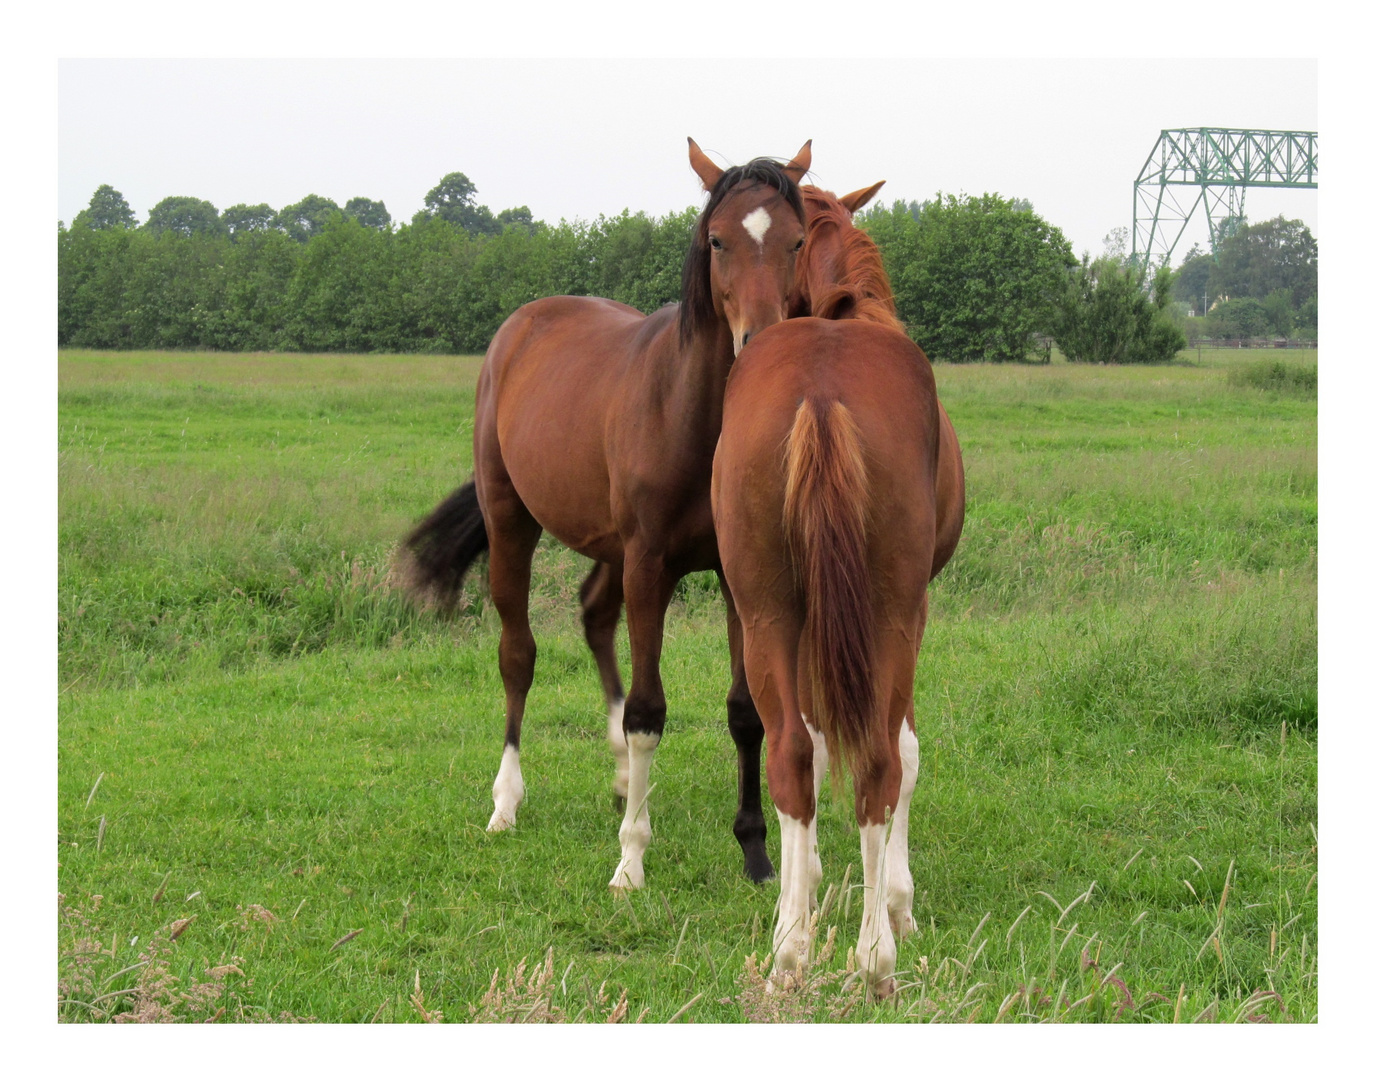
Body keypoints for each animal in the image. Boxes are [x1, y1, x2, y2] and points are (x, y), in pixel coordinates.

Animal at [402, 139, 815, 892]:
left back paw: (624, 777)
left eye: (797, 240)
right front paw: (631, 859)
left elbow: (746, 712)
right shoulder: (650, 565)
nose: (760, 341)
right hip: (514, 523)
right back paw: (506, 802)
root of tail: (522, 323)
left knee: (595, 616)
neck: (689, 416)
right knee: (518, 655)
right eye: (717, 239)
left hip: (608, 546)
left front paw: (755, 851)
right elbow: (650, 711)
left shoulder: (731, 571)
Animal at [716, 183, 964, 997]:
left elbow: (822, 746)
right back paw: (876, 953)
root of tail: (822, 393)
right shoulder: (908, 616)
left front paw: (811, 883)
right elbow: (903, 754)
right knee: (883, 759)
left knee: (793, 754)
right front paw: (897, 900)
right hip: (891, 617)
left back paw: (791, 948)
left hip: (769, 615)